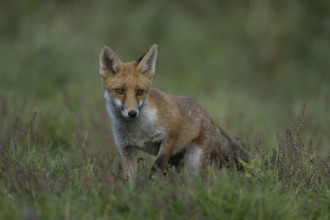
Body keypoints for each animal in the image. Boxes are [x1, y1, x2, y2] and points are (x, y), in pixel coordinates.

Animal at [99, 43, 249, 183]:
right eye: (119, 91)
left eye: (140, 92)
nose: (132, 113)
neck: (138, 131)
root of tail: (210, 116)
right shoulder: (126, 149)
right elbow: (129, 181)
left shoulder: (170, 137)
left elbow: (155, 169)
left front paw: (151, 187)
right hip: (176, 161)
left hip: (193, 163)